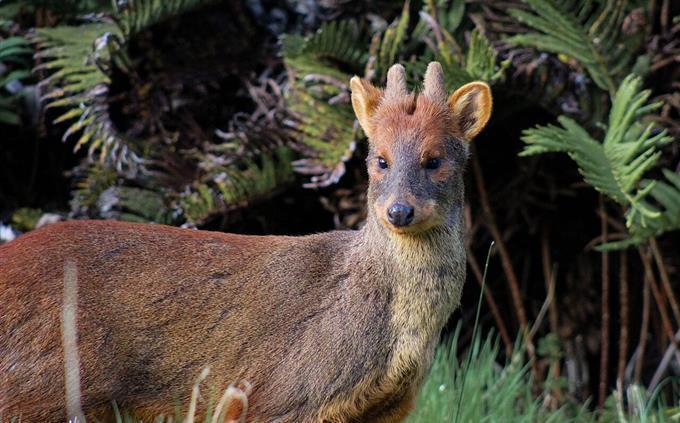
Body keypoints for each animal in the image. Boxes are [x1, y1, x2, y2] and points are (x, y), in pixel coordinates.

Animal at [0, 61, 488, 422]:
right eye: (380, 159)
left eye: (434, 159)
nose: (399, 211)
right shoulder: (270, 395)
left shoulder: (384, 410)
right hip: (39, 390)